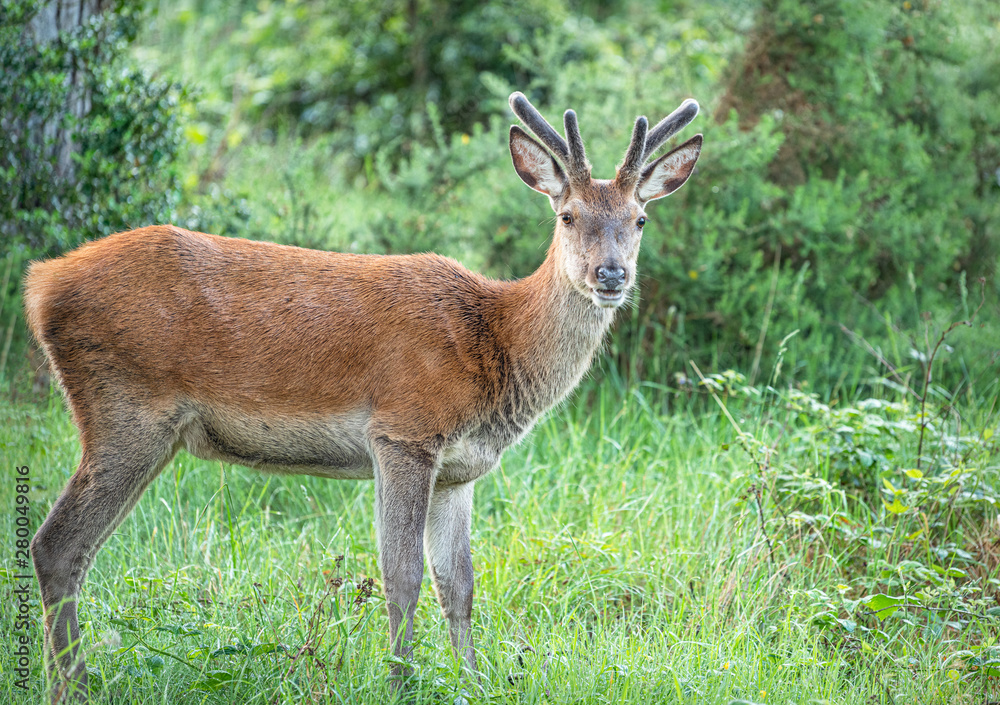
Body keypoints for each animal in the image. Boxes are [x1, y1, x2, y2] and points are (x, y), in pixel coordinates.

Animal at [21, 92, 696, 700]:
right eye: (567, 215)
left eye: (639, 219)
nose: (611, 275)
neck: (495, 341)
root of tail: (41, 283)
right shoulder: (404, 430)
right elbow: (402, 576)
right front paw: (400, 683)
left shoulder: (460, 470)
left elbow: (459, 583)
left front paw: (473, 681)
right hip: (125, 409)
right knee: (56, 545)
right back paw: (72, 687)